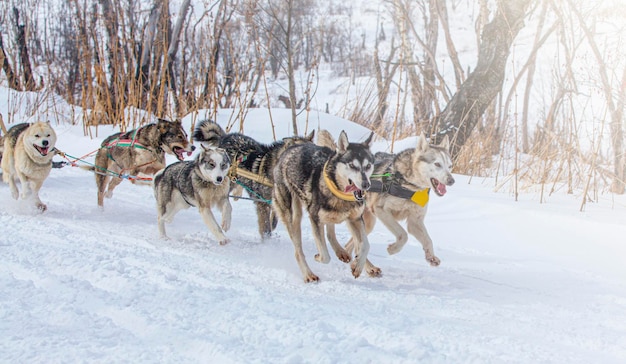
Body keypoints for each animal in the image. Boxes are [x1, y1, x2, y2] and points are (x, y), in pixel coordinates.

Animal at [270, 129, 372, 282]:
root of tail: (291, 148)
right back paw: (308, 274)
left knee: (330, 232)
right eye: (352, 165)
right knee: (298, 250)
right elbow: (325, 256)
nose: (366, 184)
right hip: (293, 217)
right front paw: (318, 257)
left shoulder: (356, 219)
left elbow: (365, 244)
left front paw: (357, 266)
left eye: (368, 166)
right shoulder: (315, 219)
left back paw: (341, 252)